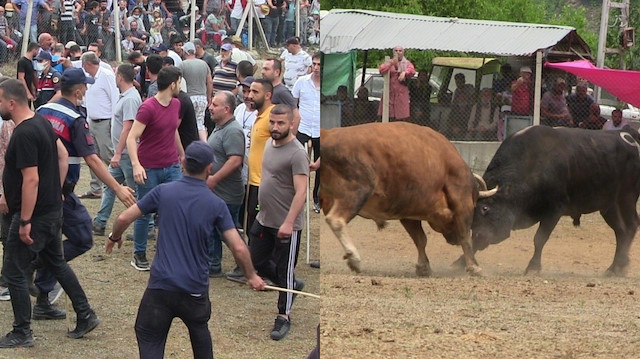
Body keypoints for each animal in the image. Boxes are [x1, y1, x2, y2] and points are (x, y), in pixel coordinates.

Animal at [320, 122, 496, 278]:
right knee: (336, 220)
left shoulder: (408, 213)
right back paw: (354, 258)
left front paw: (423, 267)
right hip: (357, 191)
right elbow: (466, 236)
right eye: (476, 205)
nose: (452, 240)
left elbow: (420, 239)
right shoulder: (462, 202)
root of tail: (327, 136)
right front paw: (475, 267)